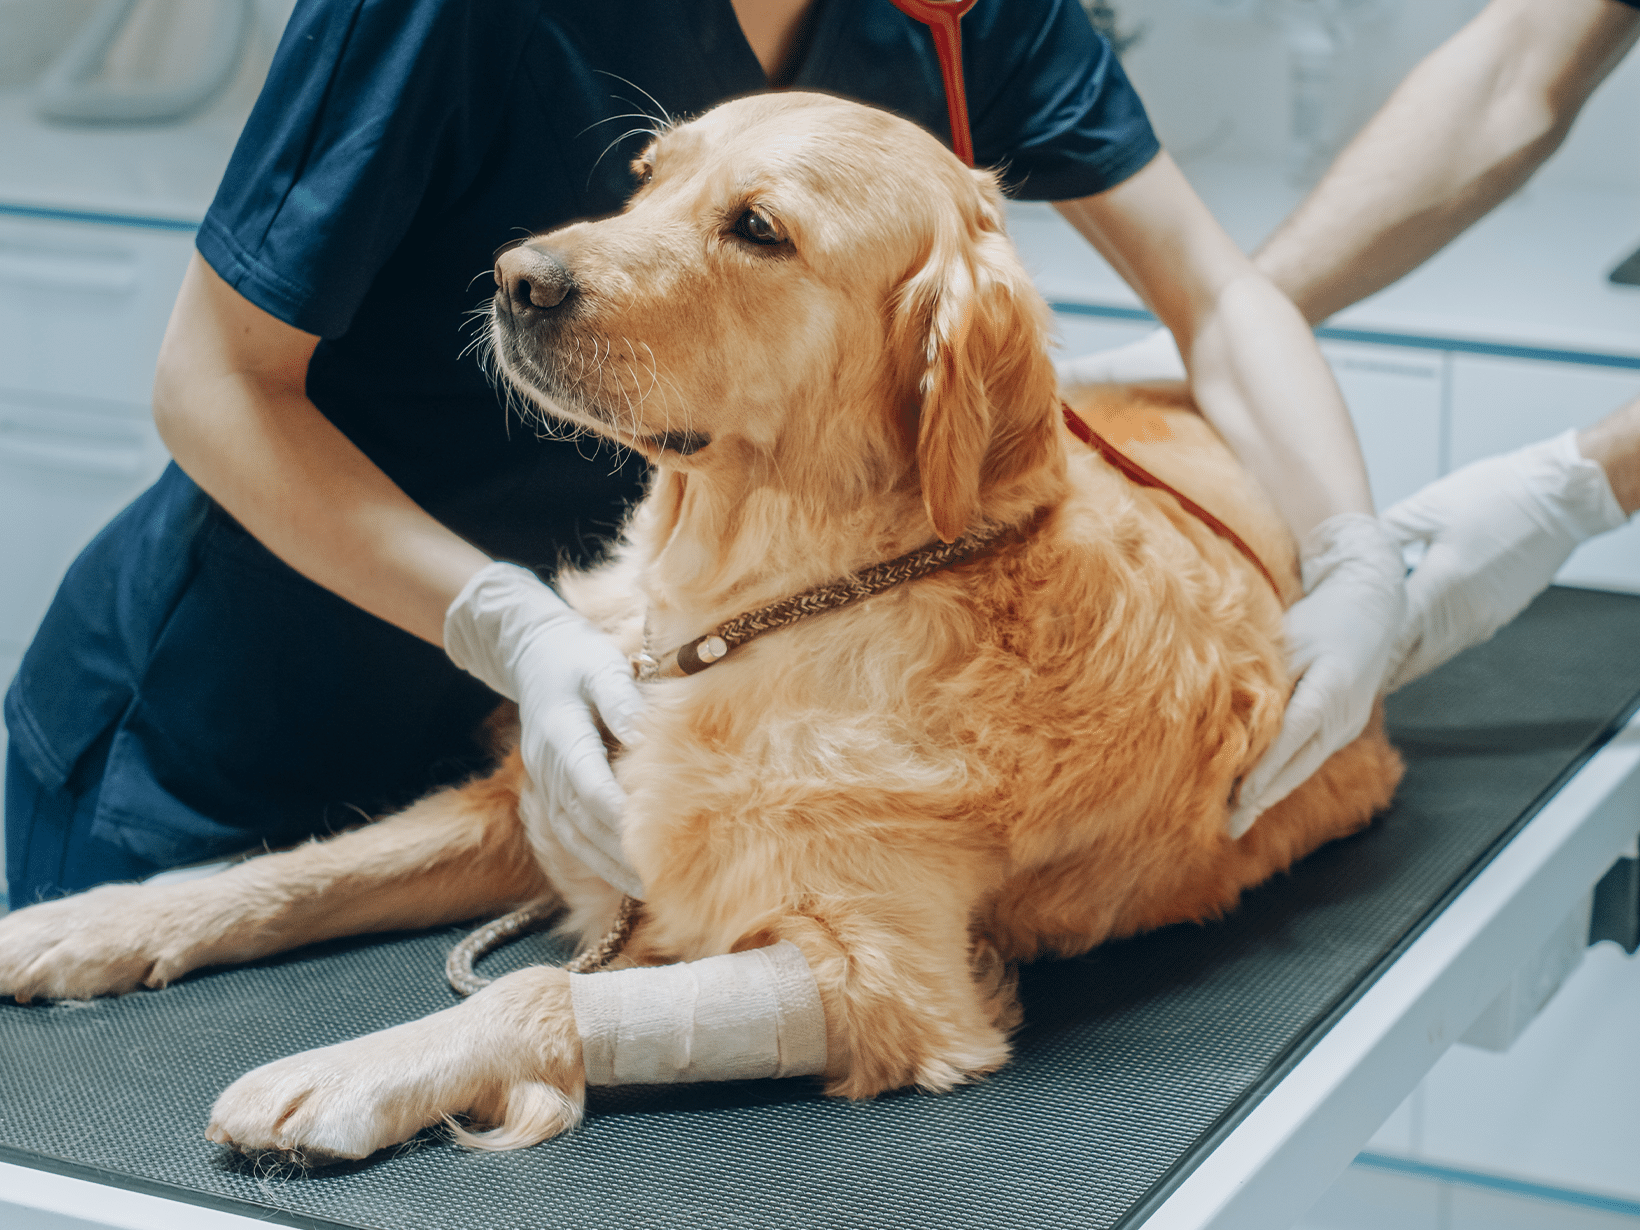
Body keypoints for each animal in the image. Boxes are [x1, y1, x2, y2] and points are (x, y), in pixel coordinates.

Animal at [0, 91, 1397, 1161]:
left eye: (759, 229)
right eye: (644, 181)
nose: (514, 278)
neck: (746, 612)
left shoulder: (892, 982)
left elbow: (544, 990)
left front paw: (348, 1069)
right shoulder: (546, 798)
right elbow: (299, 870)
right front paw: (89, 923)